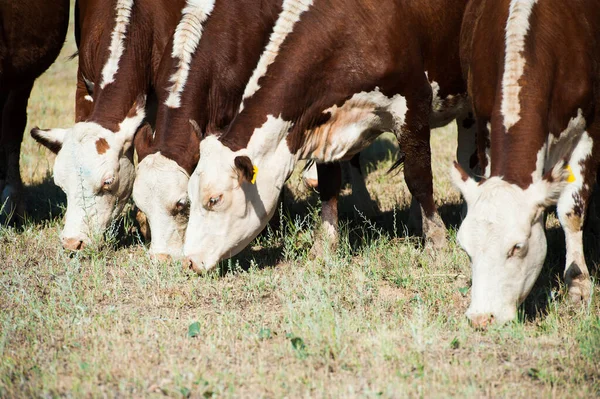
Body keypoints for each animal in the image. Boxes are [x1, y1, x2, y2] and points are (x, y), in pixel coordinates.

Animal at [184, 0, 478, 272]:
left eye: (214, 199)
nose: (189, 260)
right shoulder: (324, 128)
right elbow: (328, 186)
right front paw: (324, 246)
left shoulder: (412, 105)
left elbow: (418, 178)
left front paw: (436, 241)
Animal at [452, 0, 596, 328]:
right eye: (465, 249)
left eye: (517, 247)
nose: (482, 318)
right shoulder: (483, 128)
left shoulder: (590, 130)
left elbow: (571, 212)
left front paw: (577, 283)